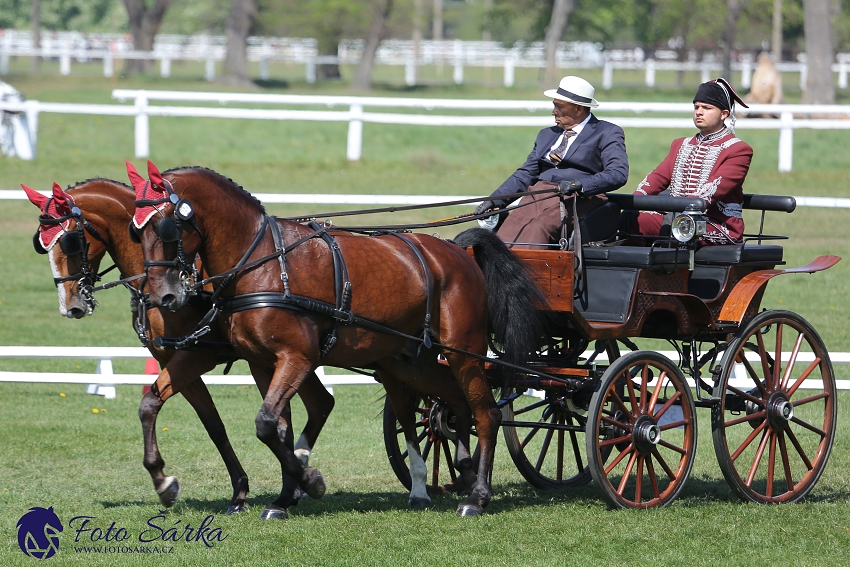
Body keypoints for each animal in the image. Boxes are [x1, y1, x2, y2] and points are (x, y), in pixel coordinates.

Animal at [23, 180, 334, 516]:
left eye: (69, 242)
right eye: (41, 244)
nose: (71, 306)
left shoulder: (197, 356)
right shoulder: (171, 361)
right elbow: (206, 423)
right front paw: (224, 489)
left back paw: (295, 485)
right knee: (319, 404)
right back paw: (295, 482)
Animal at [129, 162, 548, 516]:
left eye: (166, 229)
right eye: (136, 232)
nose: (163, 297)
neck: (264, 263)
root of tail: (458, 251)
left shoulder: (297, 357)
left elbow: (266, 423)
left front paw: (309, 481)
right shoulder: (262, 362)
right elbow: (275, 427)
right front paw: (283, 496)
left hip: (464, 353)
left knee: (487, 413)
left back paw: (477, 496)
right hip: (412, 361)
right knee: (453, 404)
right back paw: (462, 470)